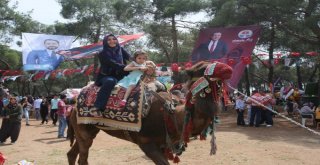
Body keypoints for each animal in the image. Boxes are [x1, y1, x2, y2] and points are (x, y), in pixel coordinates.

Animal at [68, 61, 232, 165]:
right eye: (203, 68)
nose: (228, 69)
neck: (171, 114)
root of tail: (74, 104)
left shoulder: (164, 144)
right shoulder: (146, 143)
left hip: (89, 130)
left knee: (72, 154)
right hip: (84, 130)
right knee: (82, 157)